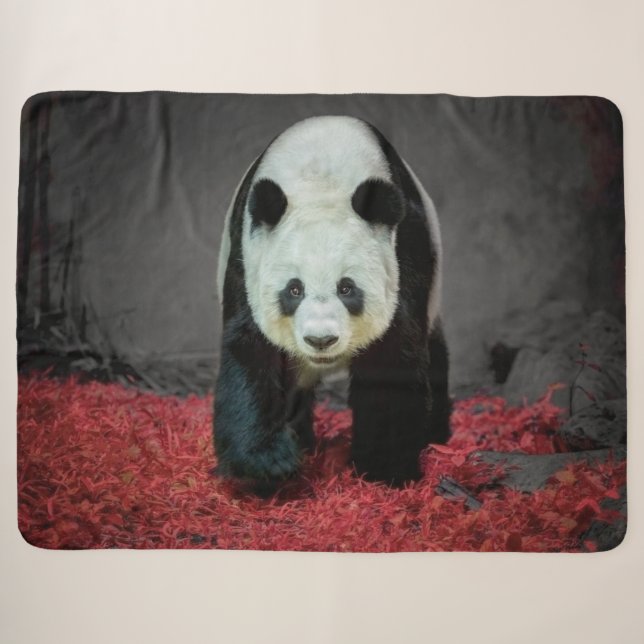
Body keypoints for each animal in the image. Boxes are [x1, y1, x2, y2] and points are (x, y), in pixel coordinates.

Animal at [215, 115, 450, 488]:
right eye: (294, 290)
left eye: (347, 289)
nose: (321, 339)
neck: (320, 178)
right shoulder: (247, 257)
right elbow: (251, 350)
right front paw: (267, 462)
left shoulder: (404, 252)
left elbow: (394, 353)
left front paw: (385, 468)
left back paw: (437, 434)